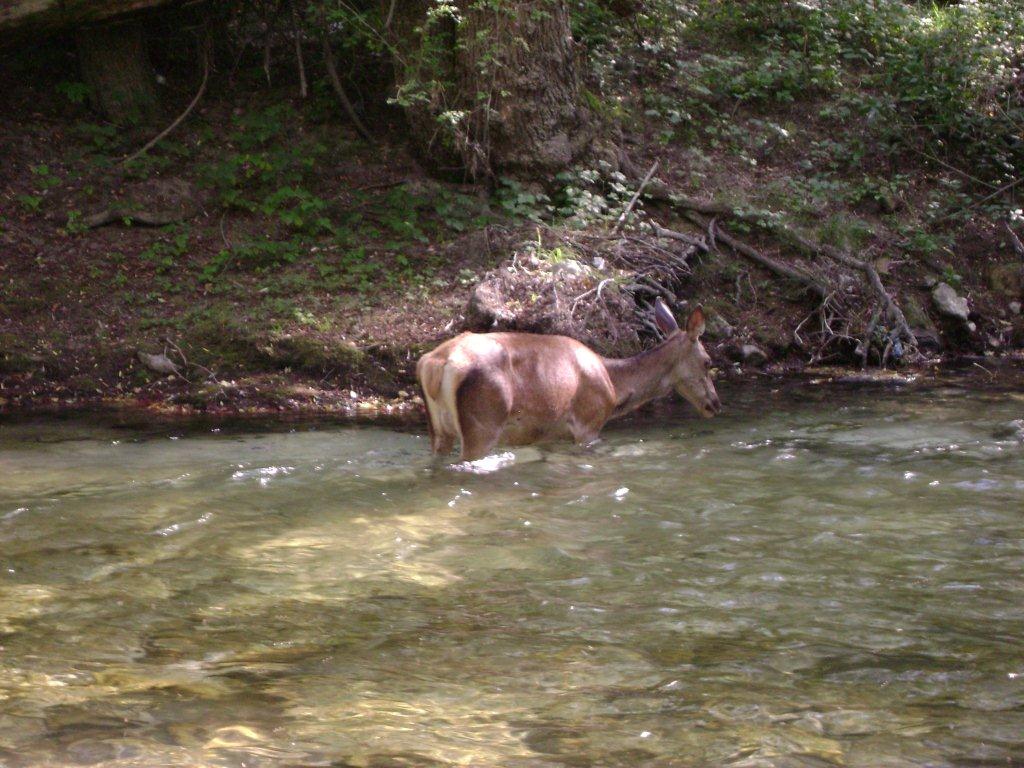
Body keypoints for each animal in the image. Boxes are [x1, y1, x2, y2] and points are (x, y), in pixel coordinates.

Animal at [415, 296, 720, 460]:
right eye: (708, 362)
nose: (715, 404)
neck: (615, 386)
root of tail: (436, 364)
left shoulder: (547, 433)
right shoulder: (589, 423)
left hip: (438, 429)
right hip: (483, 423)